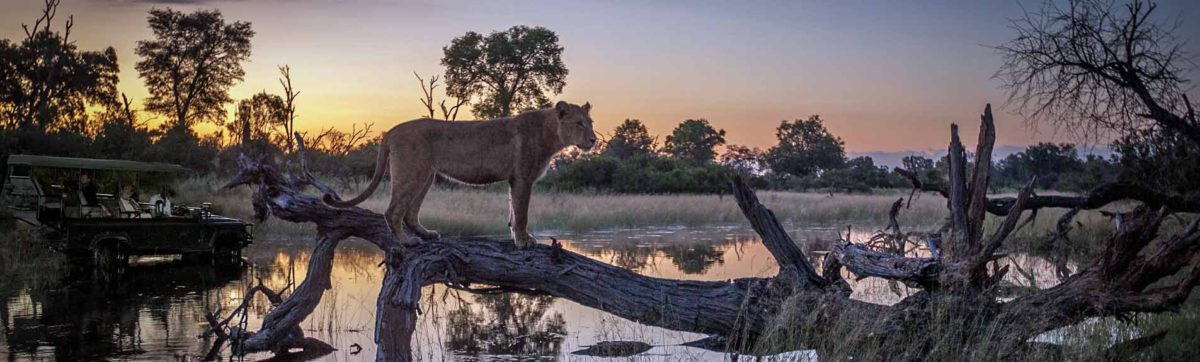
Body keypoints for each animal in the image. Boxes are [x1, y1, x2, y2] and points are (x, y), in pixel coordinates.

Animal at [321, 100, 597, 246]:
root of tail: (391, 130)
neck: (552, 134)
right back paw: (407, 241)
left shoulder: (515, 179)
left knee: (410, 213)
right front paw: (524, 240)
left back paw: (427, 234)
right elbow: (521, 213)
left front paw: (516, 237)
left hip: (426, 176)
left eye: (590, 123)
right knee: (392, 212)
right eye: (579, 123)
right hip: (412, 174)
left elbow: (512, 210)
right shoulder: (523, 178)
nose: (594, 140)